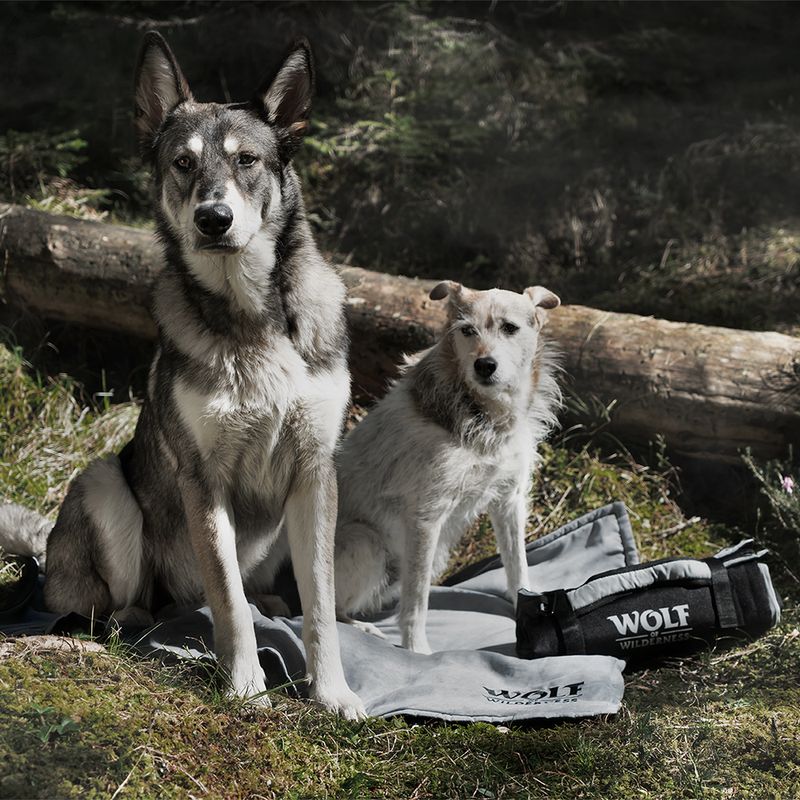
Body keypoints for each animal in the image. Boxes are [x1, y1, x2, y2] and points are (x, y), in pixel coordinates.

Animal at [0, 32, 364, 718]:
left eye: (247, 160)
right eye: (183, 164)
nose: (213, 219)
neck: (252, 317)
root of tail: (47, 557)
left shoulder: (316, 471)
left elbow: (321, 605)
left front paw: (333, 694)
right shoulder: (203, 481)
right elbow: (226, 601)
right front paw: (246, 687)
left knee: (250, 592)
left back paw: (266, 602)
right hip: (105, 485)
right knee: (127, 603)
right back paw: (136, 623)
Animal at [334, 281, 561, 653]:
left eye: (510, 328)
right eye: (467, 330)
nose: (485, 365)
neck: (486, 417)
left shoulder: (509, 500)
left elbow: (518, 565)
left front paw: (526, 606)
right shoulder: (426, 517)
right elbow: (417, 599)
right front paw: (416, 648)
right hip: (366, 543)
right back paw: (362, 628)